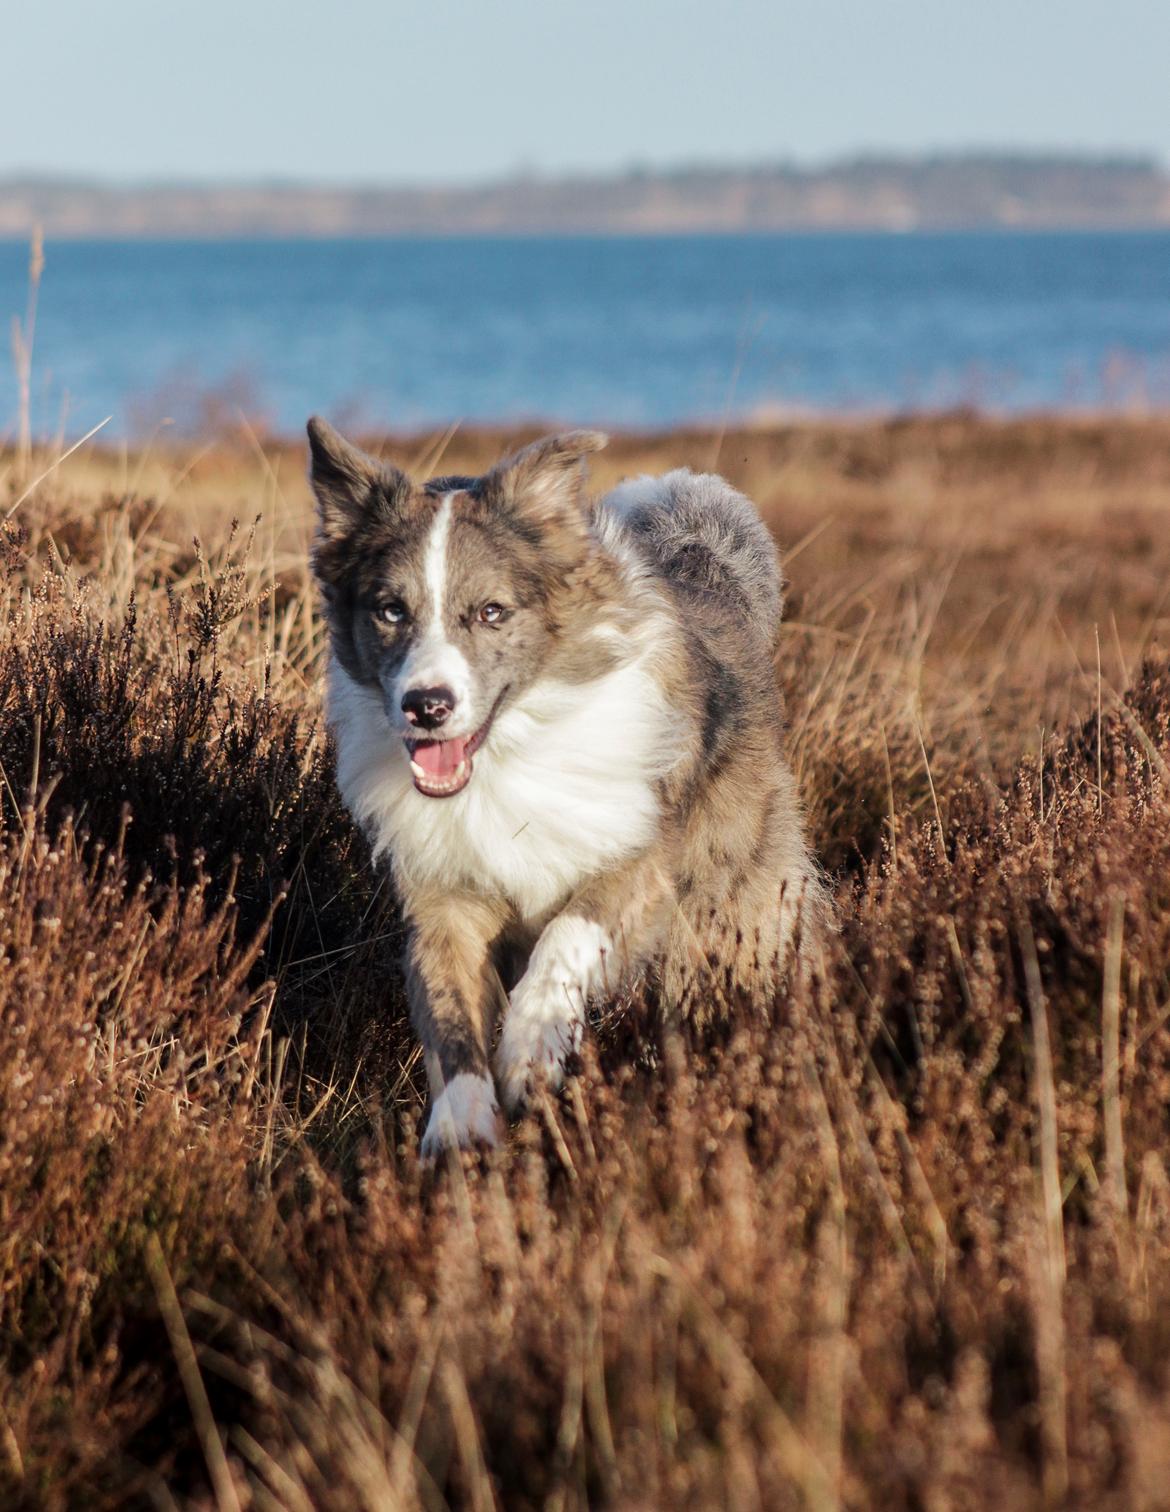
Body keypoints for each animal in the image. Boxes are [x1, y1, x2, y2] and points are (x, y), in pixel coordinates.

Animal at [306, 420, 828, 1149]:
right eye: (389, 611)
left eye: (492, 611)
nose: (425, 706)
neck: (508, 754)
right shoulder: (445, 898)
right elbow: (448, 1014)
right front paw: (462, 1126)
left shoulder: (637, 864)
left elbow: (566, 937)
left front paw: (532, 1050)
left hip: (738, 922)